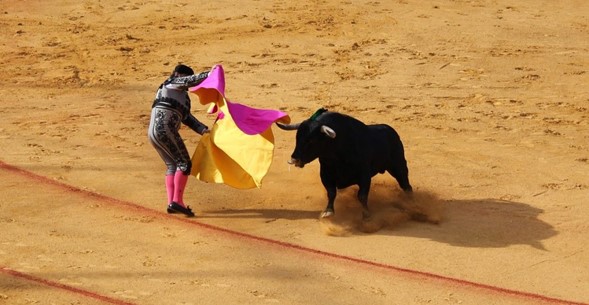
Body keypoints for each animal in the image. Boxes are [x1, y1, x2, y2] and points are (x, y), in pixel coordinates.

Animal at [276, 109, 412, 218]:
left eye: (311, 141)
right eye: (297, 138)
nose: (293, 159)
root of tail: (392, 131)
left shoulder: (364, 175)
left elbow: (362, 195)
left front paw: (366, 213)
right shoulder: (326, 174)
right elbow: (331, 193)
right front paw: (328, 211)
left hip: (398, 165)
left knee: (405, 184)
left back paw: (410, 201)